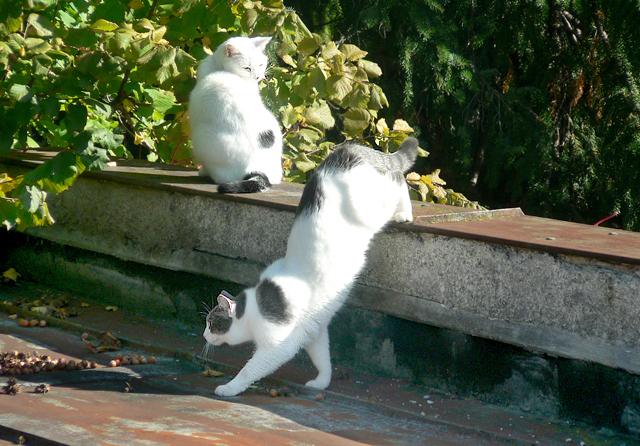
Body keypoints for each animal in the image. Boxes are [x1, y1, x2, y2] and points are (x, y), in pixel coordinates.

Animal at [188, 36, 282, 193]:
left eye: (260, 64)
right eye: (247, 68)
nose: (257, 77)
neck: (219, 67)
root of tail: (255, 166)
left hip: (200, 136)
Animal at [202, 138, 418, 396]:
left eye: (212, 323)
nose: (203, 334)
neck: (255, 307)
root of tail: (348, 150)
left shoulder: (278, 346)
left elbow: (250, 370)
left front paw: (229, 387)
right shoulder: (314, 331)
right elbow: (322, 359)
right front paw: (322, 382)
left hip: (377, 206)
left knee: (398, 179)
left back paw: (404, 212)